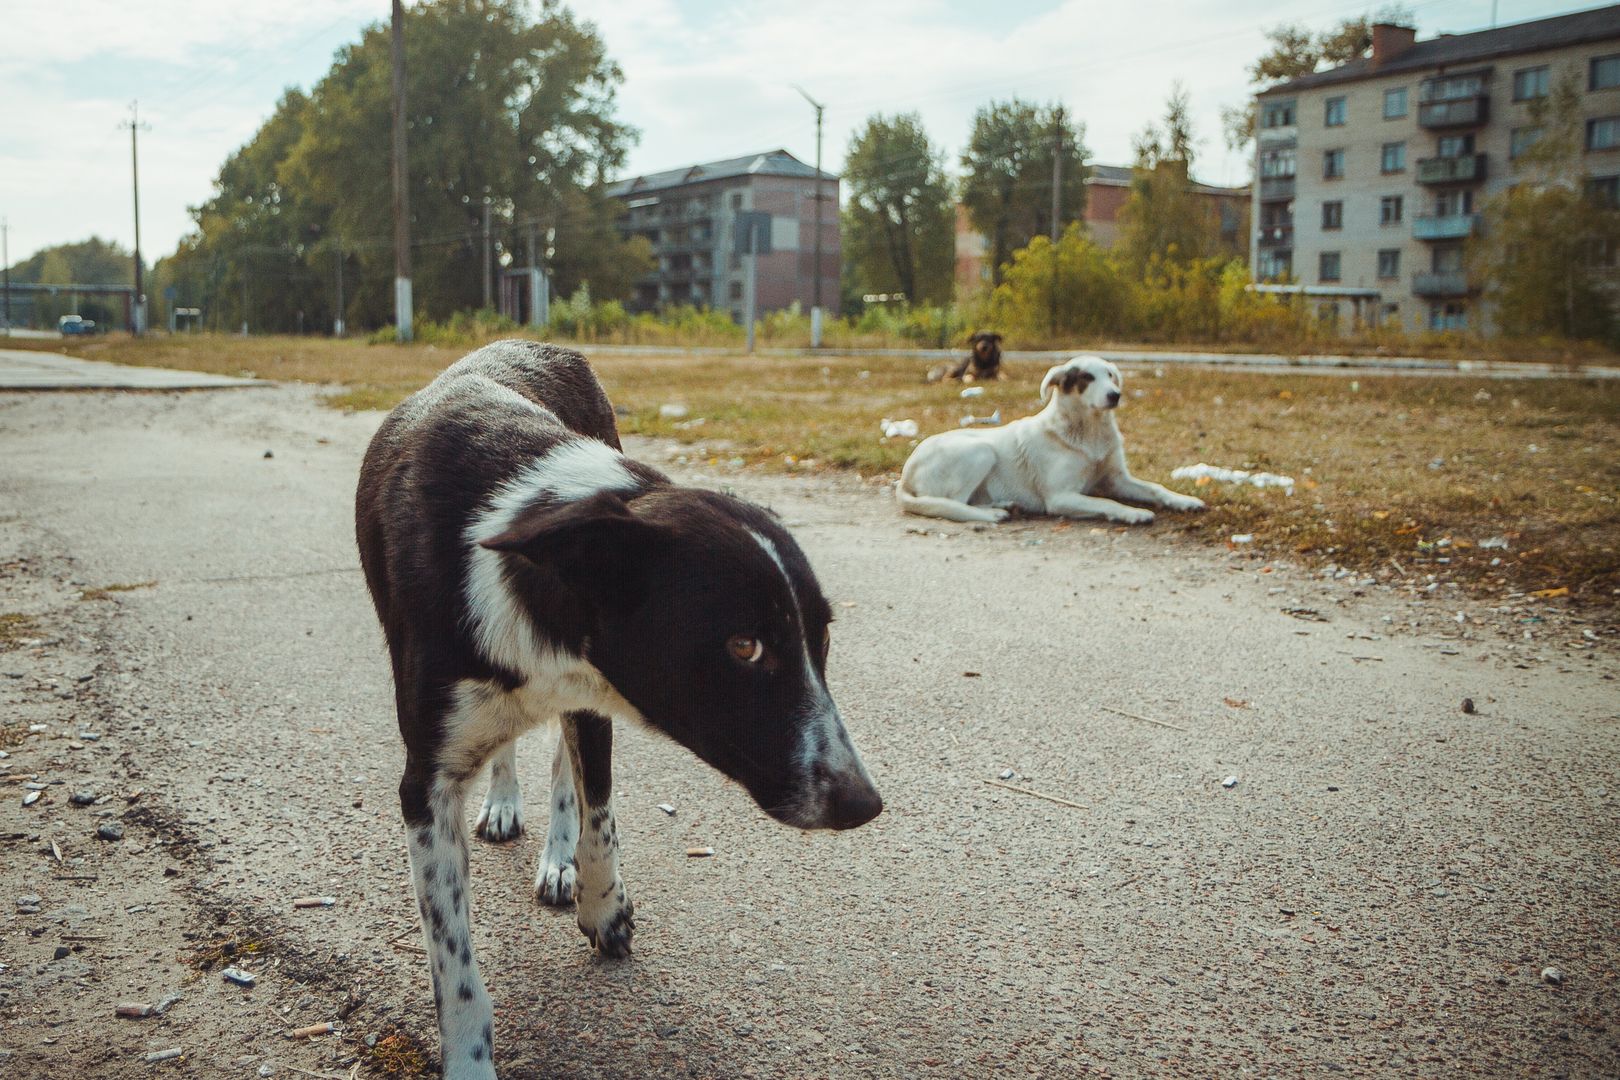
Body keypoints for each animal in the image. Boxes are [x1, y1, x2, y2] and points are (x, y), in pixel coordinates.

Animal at [358, 341, 887, 1075]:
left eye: (823, 636)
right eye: (744, 646)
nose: (864, 802)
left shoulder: (592, 695)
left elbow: (598, 814)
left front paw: (600, 904)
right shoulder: (425, 784)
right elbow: (454, 964)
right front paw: (468, 1057)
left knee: (563, 768)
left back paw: (558, 859)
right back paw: (503, 801)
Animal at [900, 356, 1205, 524]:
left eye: (1110, 375)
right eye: (1086, 377)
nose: (1115, 395)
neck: (1089, 432)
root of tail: (905, 472)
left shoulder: (1117, 479)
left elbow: (1156, 488)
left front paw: (1184, 500)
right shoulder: (1061, 497)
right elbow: (1108, 503)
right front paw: (1133, 513)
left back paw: (1004, 505)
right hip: (981, 450)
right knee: (954, 503)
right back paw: (994, 514)